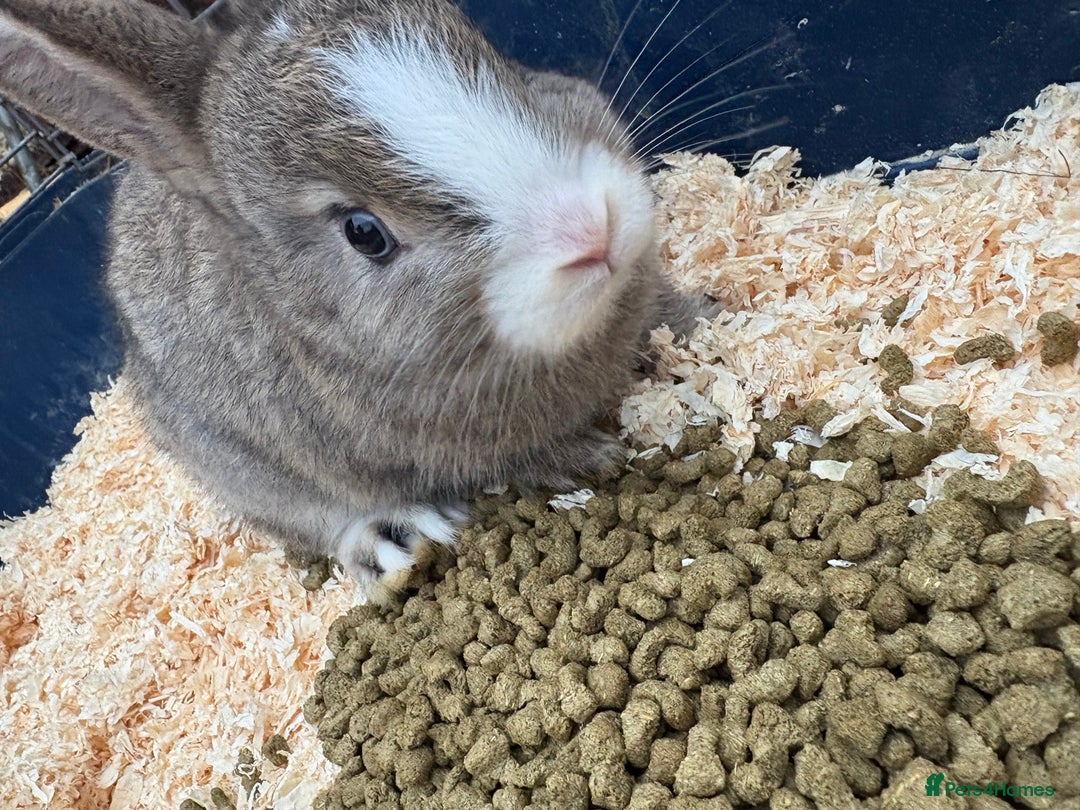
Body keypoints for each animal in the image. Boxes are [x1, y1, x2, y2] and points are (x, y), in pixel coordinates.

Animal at [0, 0, 709, 590]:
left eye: (506, 67)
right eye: (364, 233)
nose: (592, 228)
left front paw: (707, 319)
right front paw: (593, 456)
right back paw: (393, 543)